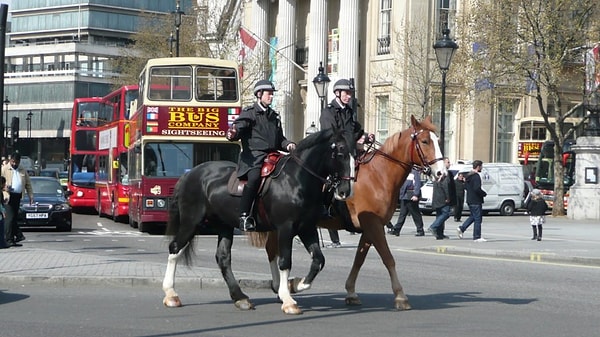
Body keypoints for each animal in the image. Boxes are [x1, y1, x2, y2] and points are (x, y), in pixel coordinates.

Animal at [162, 127, 354, 314]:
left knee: (223, 258)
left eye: (356, 155)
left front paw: (296, 284)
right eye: (340, 153)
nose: (345, 191)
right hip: (191, 222)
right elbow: (285, 261)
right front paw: (288, 299)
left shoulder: (306, 228)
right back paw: (171, 294)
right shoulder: (286, 228)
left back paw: (240, 297)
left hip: (224, 225)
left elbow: (318, 261)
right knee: (175, 248)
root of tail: (190, 173)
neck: (295, 180)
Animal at [250, 114, 446, 312]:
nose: (442, 173)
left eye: (438, 140)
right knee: (273, 251)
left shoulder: (369, 229)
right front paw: (400, 296)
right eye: (425, 141)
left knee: (271, 250)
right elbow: (388, 258)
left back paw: (281, 289)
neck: (379, 175)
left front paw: (351, 292)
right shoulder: (373, 225)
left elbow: (359, 259)